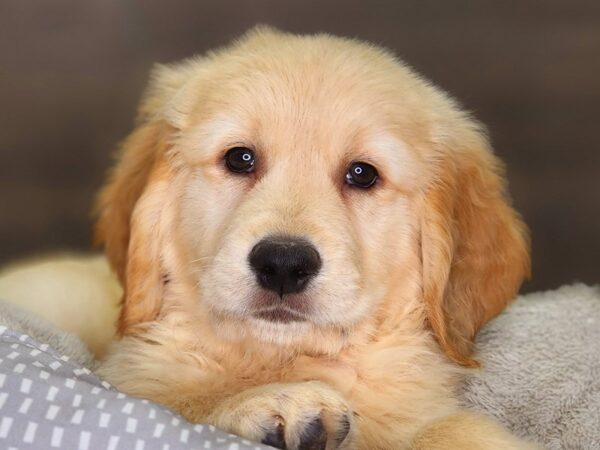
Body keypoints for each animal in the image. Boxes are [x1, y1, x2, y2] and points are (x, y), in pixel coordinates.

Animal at [94, 26, 528, 448]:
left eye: (362, 174)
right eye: (240, 158)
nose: (283, 264)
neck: (287, 358)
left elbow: (444, 430)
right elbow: (176, 405)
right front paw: (266, 402)